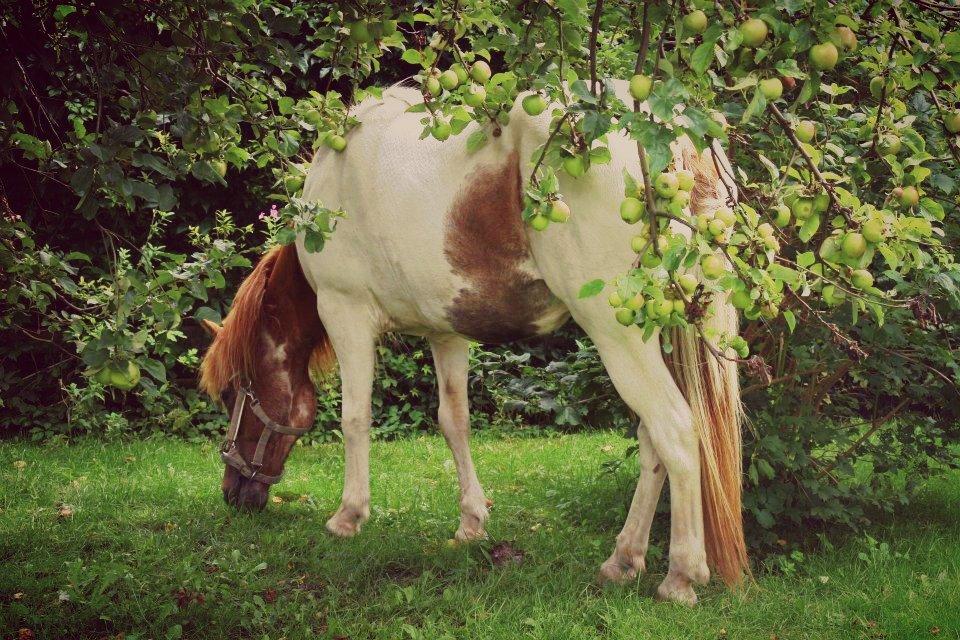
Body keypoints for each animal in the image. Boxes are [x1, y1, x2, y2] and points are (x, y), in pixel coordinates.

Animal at [199, 81, 748, 604]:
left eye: (230, 392)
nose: (231, 493)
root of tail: (671, 131)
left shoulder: (345, 311)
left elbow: (355, 418)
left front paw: (348, 516)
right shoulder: (447, 333)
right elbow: (454, 422)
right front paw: (471, 523)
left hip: (617, 334)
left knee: (675, 431)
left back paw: (680, 575)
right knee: (652, 439)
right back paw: (624, 559)